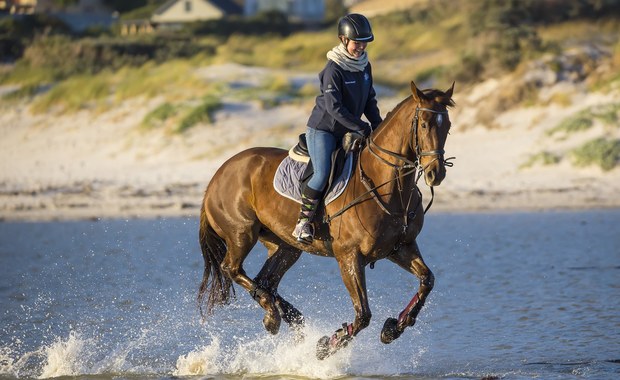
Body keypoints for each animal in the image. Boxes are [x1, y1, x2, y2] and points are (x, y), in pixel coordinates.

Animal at [199, 80, 456, 360]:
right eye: (424, 125)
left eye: (448, 126)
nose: (435, 173)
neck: (388, 186)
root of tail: (218, 174)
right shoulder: (349, 257)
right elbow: (363, 315)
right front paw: (327, 345)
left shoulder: (400, 248)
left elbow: (427, 280)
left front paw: (393, 328)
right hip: (241, 234)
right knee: (232, 268)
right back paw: (273, 316)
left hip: (285, 246)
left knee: (265, 280)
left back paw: (286, 317)